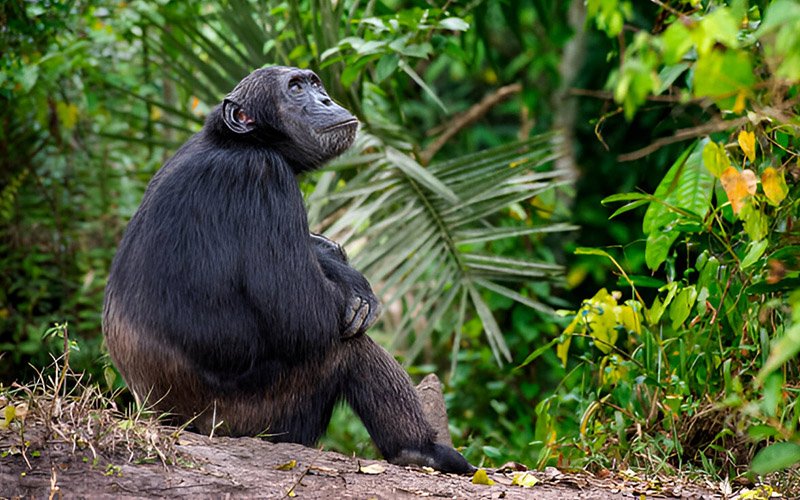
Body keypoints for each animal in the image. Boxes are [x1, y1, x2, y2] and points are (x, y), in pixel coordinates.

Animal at [103, 66, 475, 474]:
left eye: (315, 84)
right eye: (295, 89)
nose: (325, 99)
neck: (241, 143)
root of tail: (165, 420)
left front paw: (333, 257)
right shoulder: (264, 177)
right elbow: (301, 312)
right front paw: (349, 282)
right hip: (258, 419)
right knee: (346, 346)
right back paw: (421, 450)